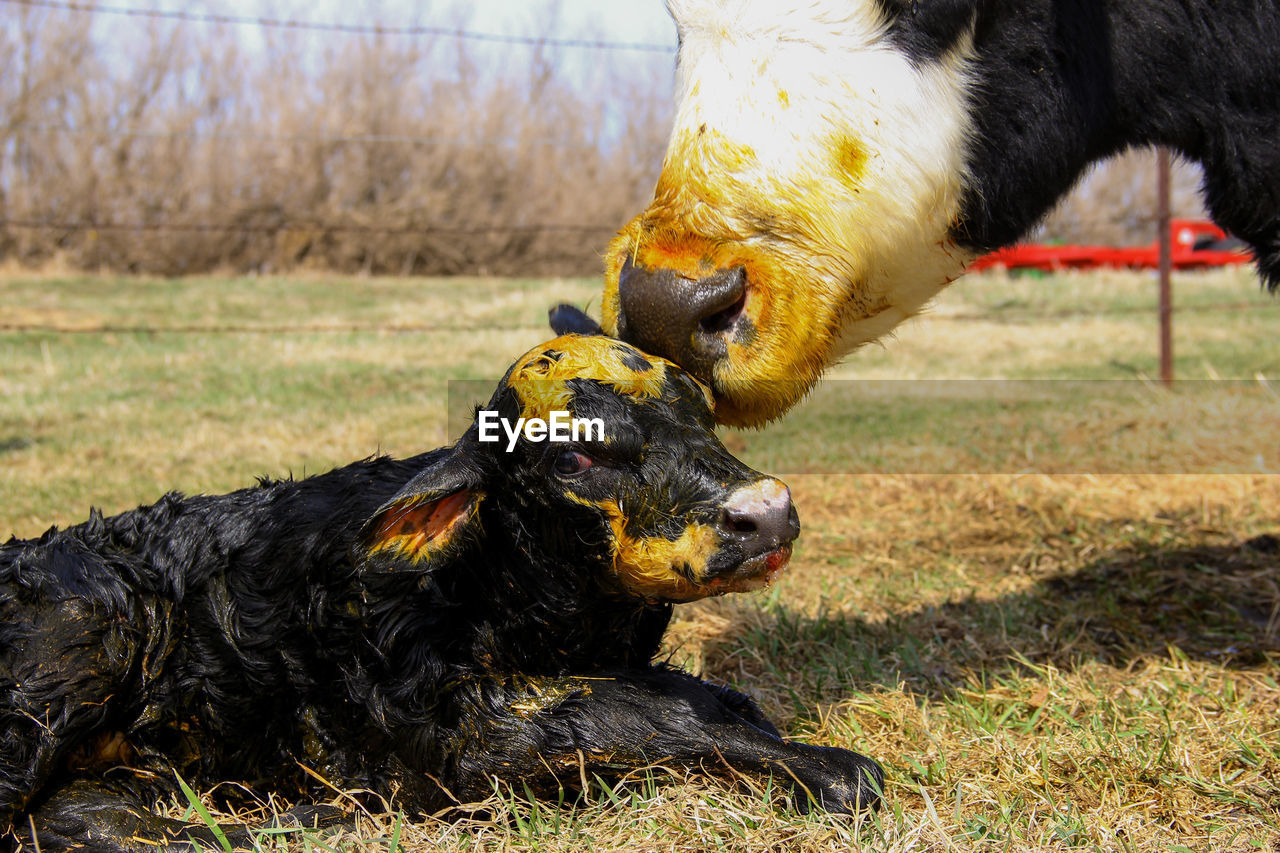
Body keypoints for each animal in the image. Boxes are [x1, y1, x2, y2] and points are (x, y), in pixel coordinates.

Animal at [0, 335, 880, 845]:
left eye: (701, 412)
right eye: (576, 455)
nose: (766, 511)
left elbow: (712, 696)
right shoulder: (457, 729)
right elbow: (641, 710)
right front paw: (834, 769)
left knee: (85, 814)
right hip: (79, 640)